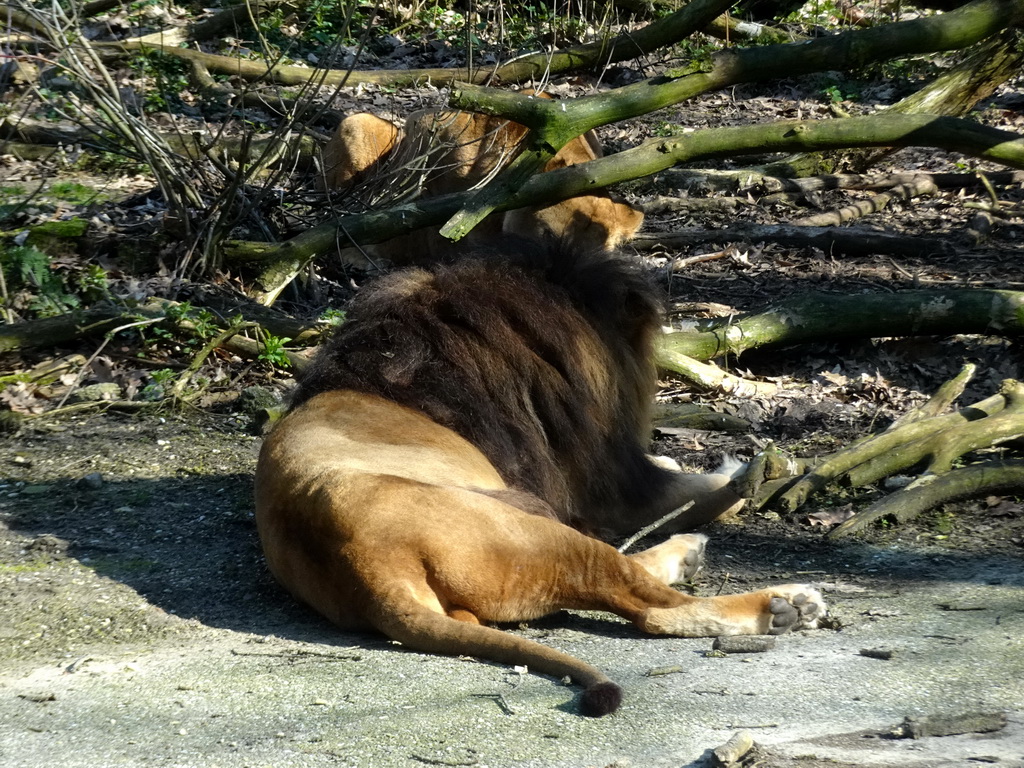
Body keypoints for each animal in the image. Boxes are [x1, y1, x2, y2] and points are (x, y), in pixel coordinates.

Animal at [253, 243, 823, 720]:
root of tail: (370, 571)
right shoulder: (603, 489)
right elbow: (702, 495)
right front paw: (747, 473)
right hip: (539, 531)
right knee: (652, 610)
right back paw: (781, 604)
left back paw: (695, 558)